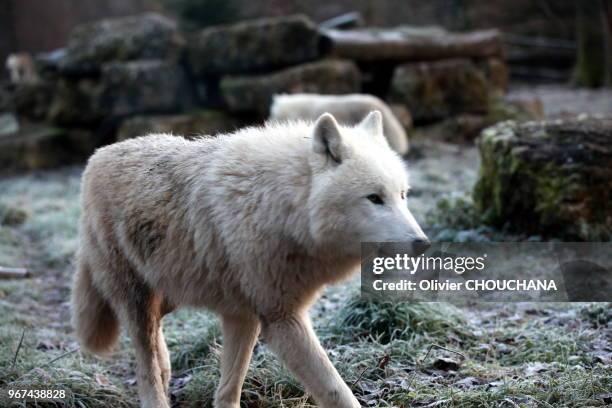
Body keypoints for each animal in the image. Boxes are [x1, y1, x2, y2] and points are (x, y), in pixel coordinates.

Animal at [70, 111, 426, 408]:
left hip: (170, 291)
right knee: (145, 366)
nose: (422, 244)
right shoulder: (281, 319)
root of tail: (97, 156)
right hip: (136, 300)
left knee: (157, 342)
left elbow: (229, 387)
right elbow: (336, 391)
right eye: (375, 199)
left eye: (403, 195)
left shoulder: (243, 314)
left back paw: (168, 366)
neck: (279, 204)